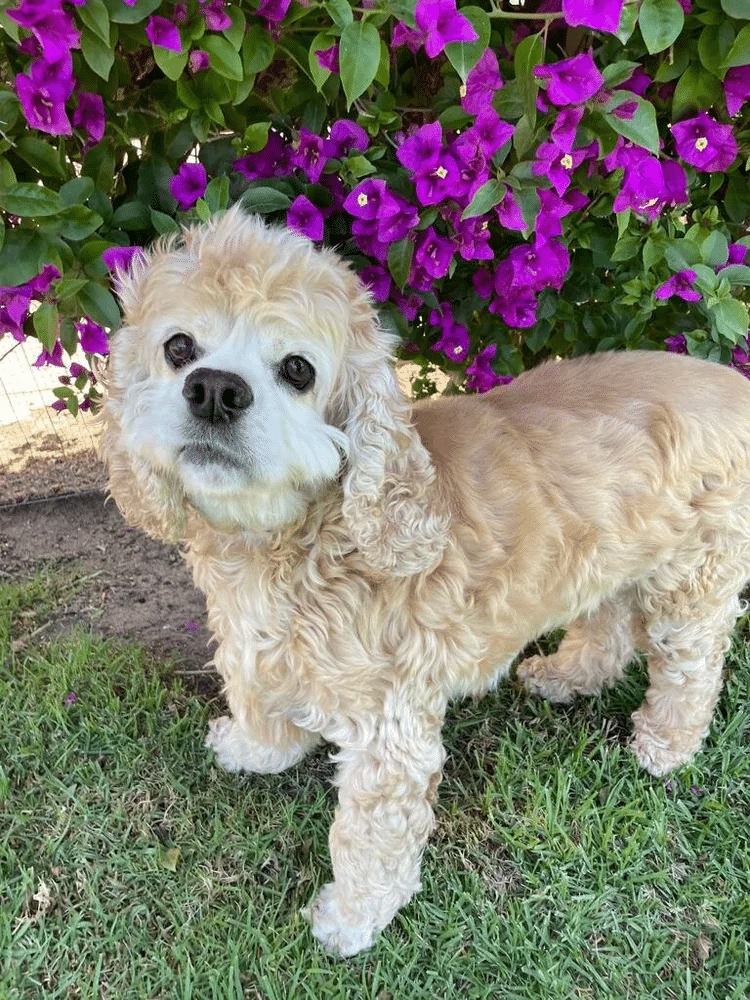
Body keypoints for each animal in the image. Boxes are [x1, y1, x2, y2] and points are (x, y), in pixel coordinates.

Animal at [100, 207, 750, 956]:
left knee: (691, 667)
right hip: (609, 551)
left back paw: (665, 748)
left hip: (694, 578)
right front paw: (254, 749)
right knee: (608, 622)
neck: (299, 541)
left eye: (297, 369)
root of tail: (737, 384)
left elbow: (371, 835)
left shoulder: (390, 728)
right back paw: (567, 676)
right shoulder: (251, 640)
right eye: (178, 347)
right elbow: (259, 700)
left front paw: (353, 918)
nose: (213, 390)